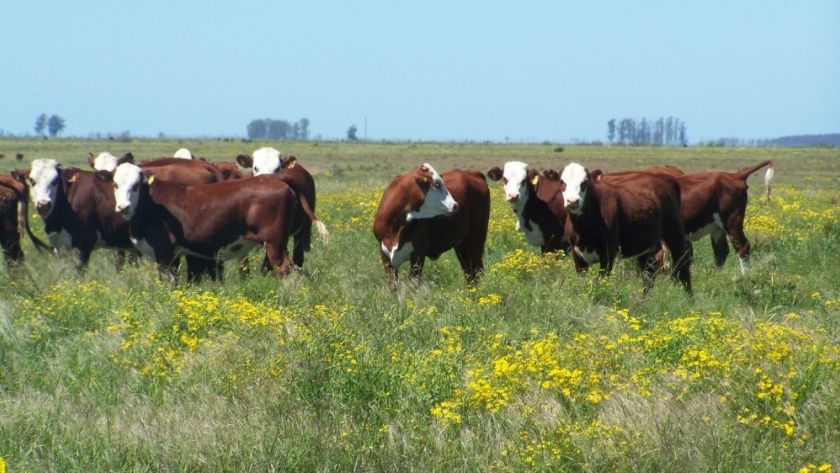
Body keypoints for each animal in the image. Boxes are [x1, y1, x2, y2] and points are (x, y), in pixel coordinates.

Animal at [108, 162, 298, 280]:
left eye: (136, 185)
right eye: (115, 184)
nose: (123, 207)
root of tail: (275, 180)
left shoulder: (164, 252)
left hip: (274, 242)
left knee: (284, 268)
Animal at [556, 164, 688, 294]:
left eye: (584, 182)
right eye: (562, 182)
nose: (573, 201)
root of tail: (665, 178)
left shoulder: (608, 252)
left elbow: (602, 280)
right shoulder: (577, 255)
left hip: (675, 234)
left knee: (683, 269)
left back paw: (689, 297)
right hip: (647, 244)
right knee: (648, 277)